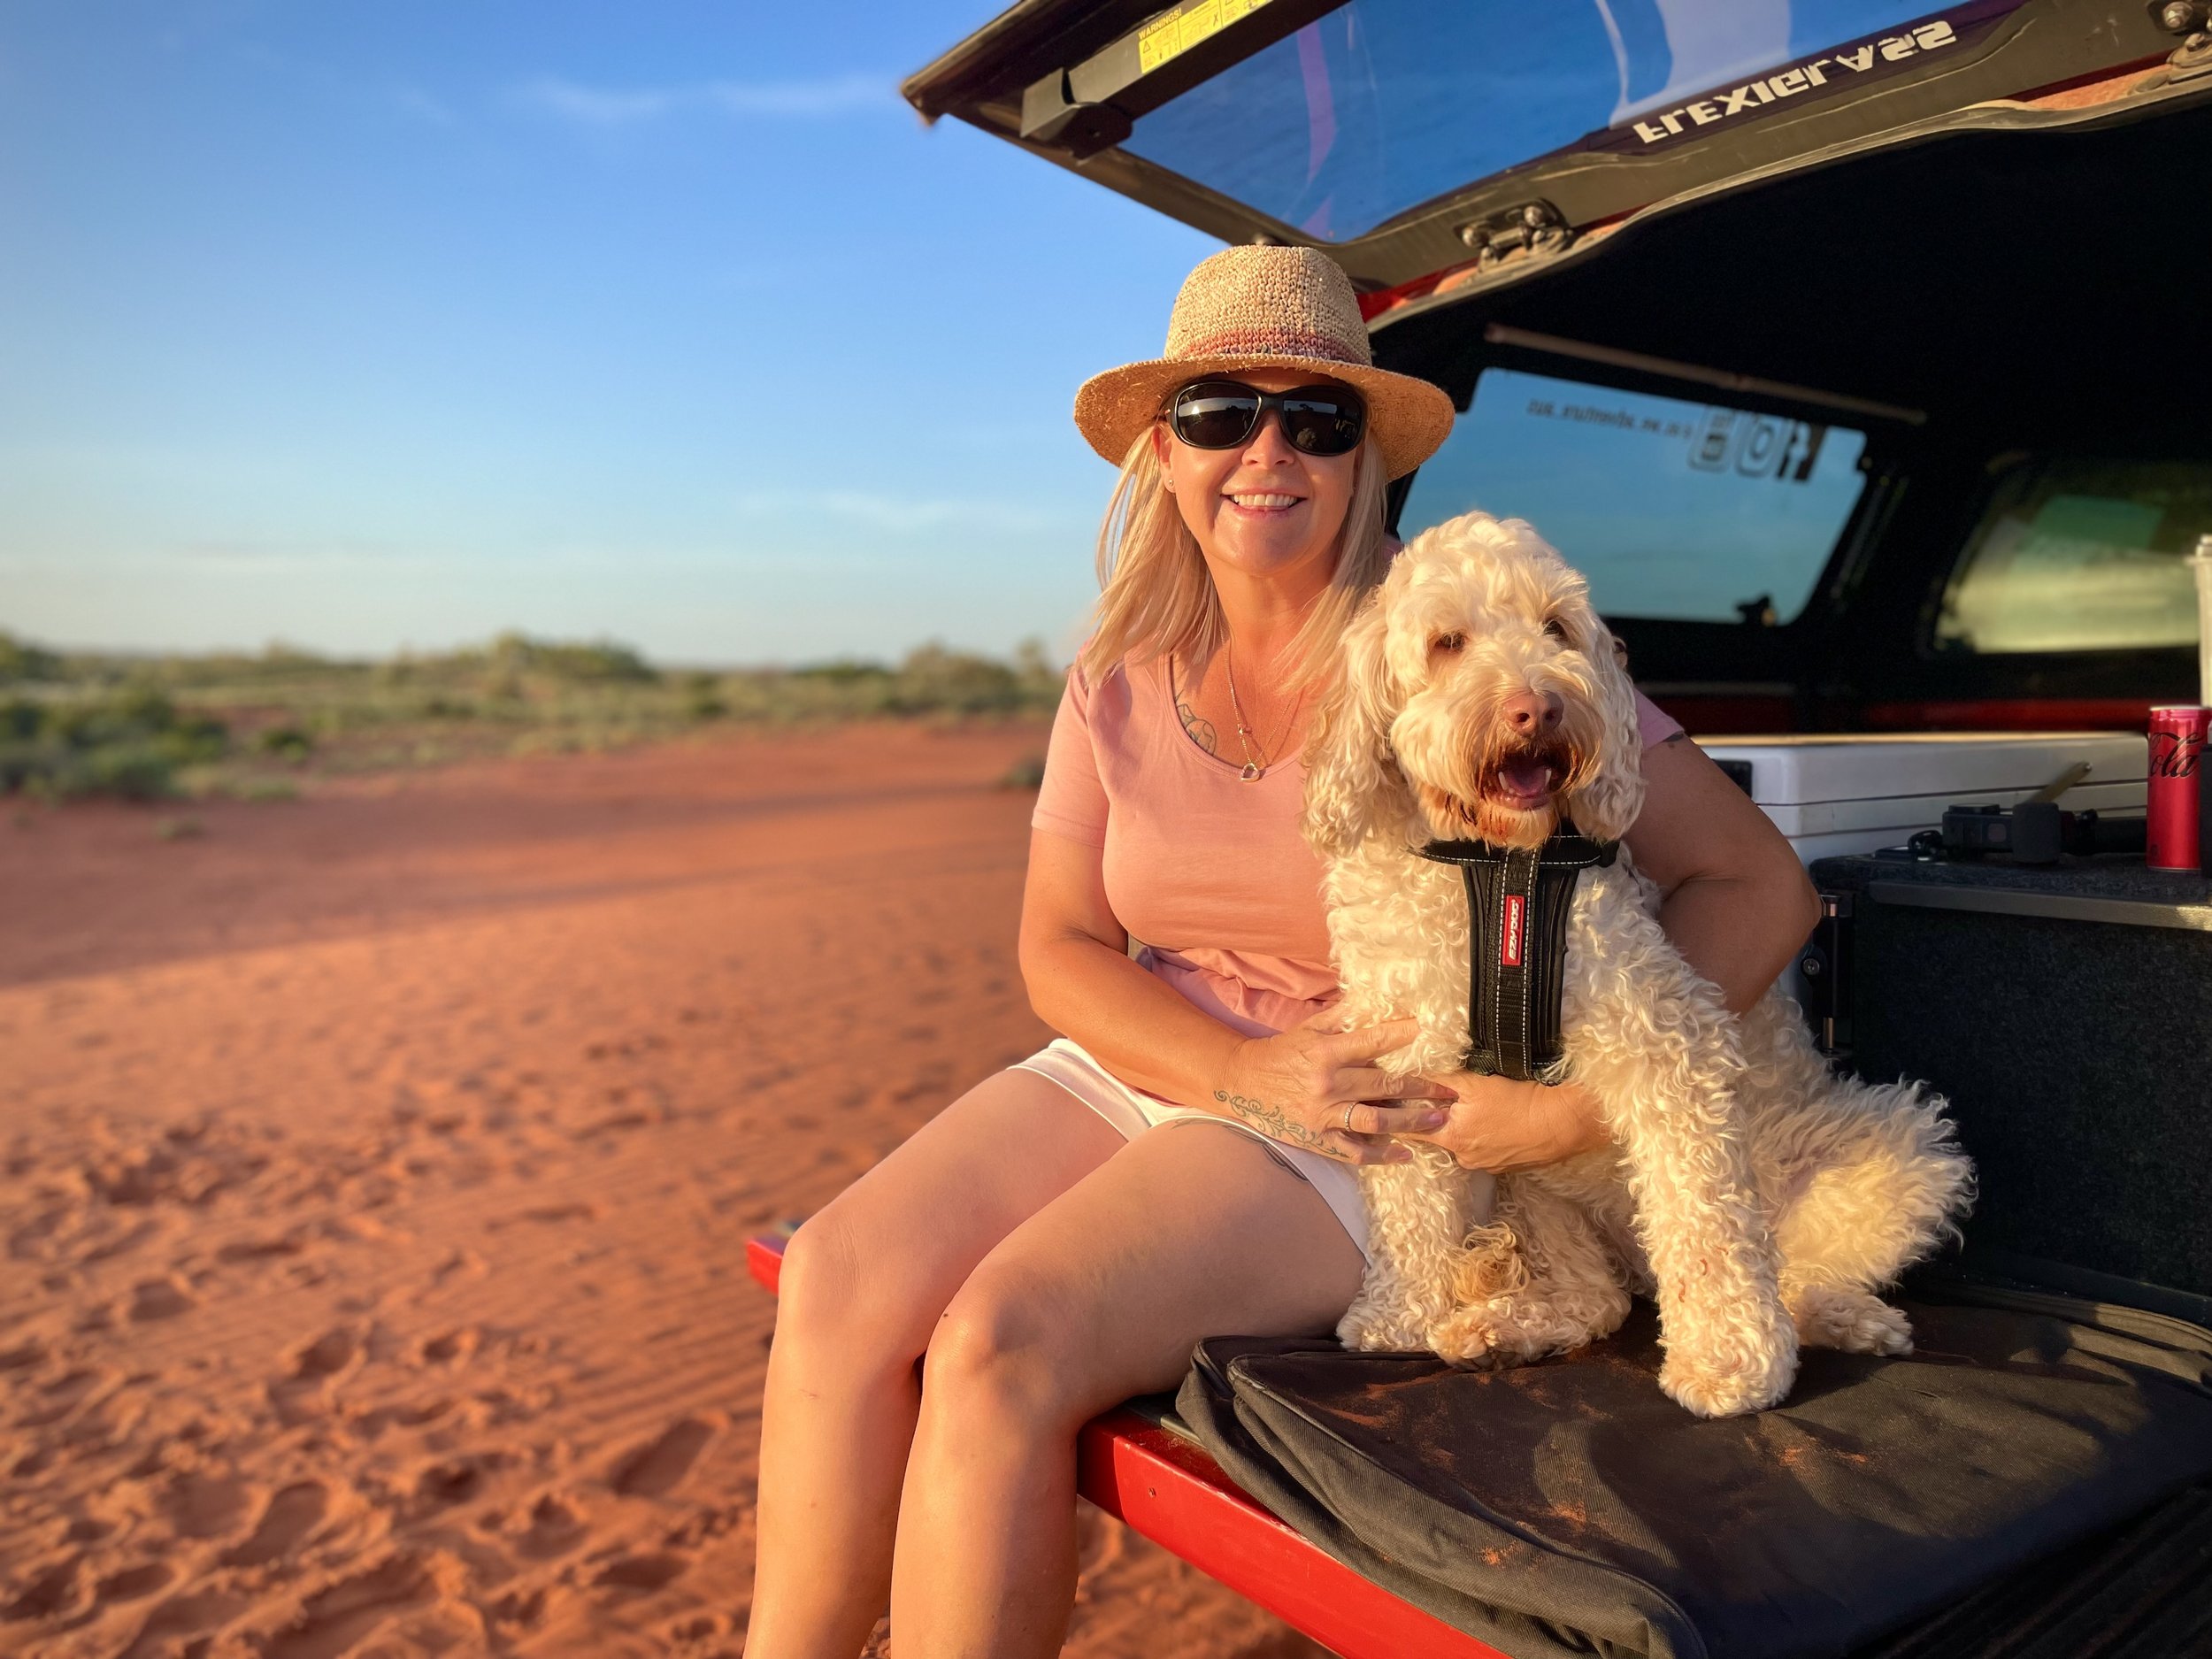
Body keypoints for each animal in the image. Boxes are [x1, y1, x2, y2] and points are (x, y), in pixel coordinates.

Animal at [1303, 511, 1973, 1418]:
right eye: (1447, 642)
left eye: (1556, 628)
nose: (1537, 707)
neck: (1497, 869)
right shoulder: (1405, 1061)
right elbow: (1408, 1207)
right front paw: (1400, 1311)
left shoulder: (1665, 1040)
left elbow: (1704, 1217)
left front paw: (1729, 1362)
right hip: (1536, 1186)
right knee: (1599, 1298)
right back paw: (1499, 1322)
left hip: (1899, 1147)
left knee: (1791, 1267)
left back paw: (1845, 1317)